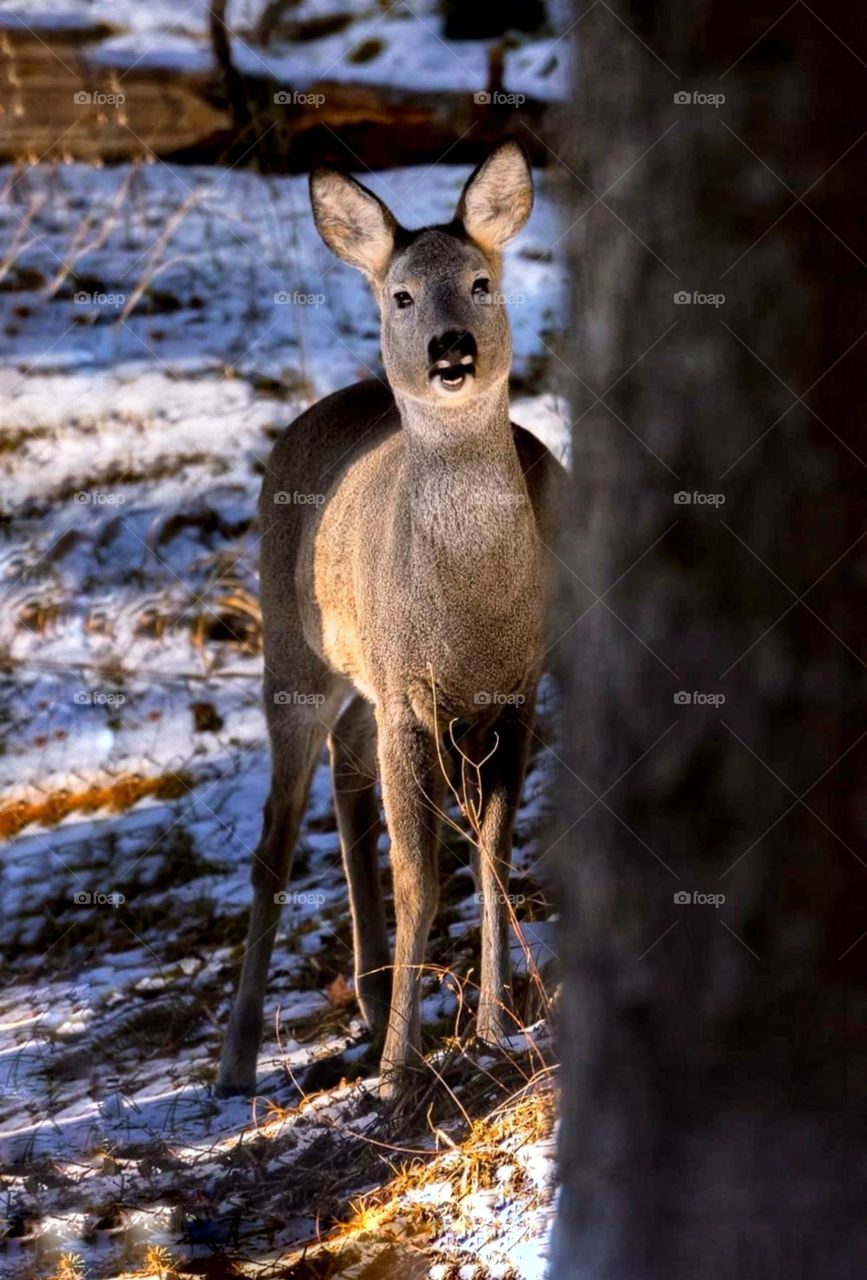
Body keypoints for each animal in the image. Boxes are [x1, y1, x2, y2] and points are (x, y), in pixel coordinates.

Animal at [216, 140, 564, 1100]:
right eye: (402, 295)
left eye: (481, 281)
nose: (451, 349)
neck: (469, 612)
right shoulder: (412, 696)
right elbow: (421, 880)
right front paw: (402, 1070)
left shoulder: (512, 694)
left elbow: (489, 861)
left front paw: (489, 1029)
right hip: (292, 657)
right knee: (274, 840)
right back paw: (237, 1062)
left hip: (363, 684)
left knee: (348, 783)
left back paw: (371, 1004)